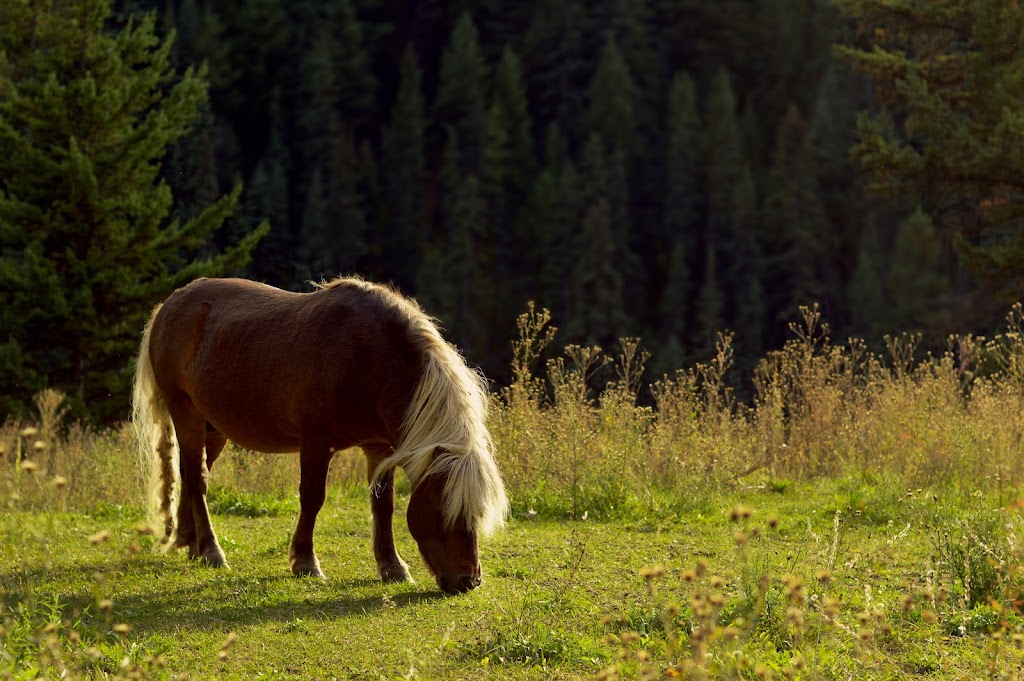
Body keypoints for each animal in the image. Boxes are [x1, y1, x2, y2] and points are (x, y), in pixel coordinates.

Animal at [132, 274, 507, 589]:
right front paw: (305, 561)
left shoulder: (379, 448)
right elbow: (312, 498)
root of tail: (170, 304)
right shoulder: (315, 442)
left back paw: (191, 543)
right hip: (187, 414)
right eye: (446, 509)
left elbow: (382, 504)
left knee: (192, 474)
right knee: (196, 479)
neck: (368, 358)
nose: (469, 581)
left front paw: (392, 566)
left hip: (214, 429)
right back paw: (211, 550)